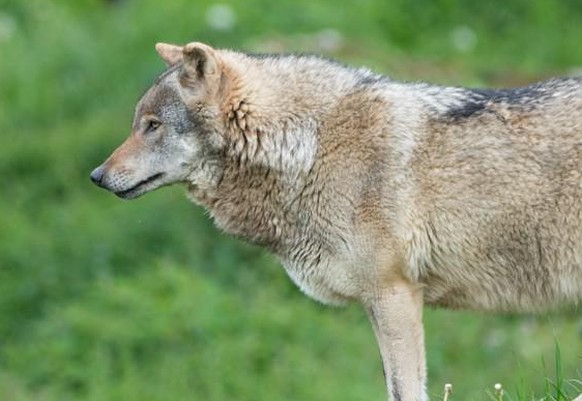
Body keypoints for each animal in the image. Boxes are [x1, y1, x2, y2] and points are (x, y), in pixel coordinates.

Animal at [90, 41, 582, 400]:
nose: (96, 176)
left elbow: (405, 390)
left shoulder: (394, 294)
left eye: (153, 125)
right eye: (138, 123)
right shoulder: (376, 302)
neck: (311, 148)